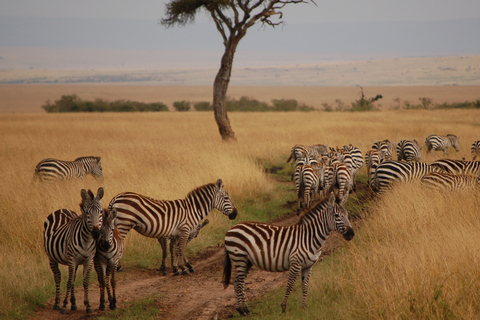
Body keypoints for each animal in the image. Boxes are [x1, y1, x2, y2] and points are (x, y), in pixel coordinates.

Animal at [43, 186, 104, 314]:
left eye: (101, 212)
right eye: (87, 213)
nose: (96, 233)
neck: (86, 240)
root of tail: (61, 209)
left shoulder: (88, 260)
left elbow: (85, 281)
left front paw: (88, 305)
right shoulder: (72, 259)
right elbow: (69, 281)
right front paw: (64, 305)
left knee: (73, 277)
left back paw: (74, 303)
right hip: (52, 257)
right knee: (58, 276)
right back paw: (57, 303)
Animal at [108, 178, 236, 276]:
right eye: (226, 198)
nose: (235, 214)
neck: (193, 209)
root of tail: (115, 197)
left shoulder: (176, 234)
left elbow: (176, 250)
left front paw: (176, 268)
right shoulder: (185, 230)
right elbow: (181, 249)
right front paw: (183, 269)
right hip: (123, 224)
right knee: (117, 243)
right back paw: (118, 267)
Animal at [223, 191, 354, 316]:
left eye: (347, 215)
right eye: (336, 215)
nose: (351, 234)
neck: (309, 238)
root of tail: (232, 228)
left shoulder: (308, 266)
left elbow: (305, 286)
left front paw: (304, 308)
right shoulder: (295, 263)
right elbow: (290, 285)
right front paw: (283, 307)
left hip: (247, 261)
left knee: (237, 282)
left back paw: (242, 310)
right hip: (239, 257)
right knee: (239, 283)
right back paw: (244, 309)